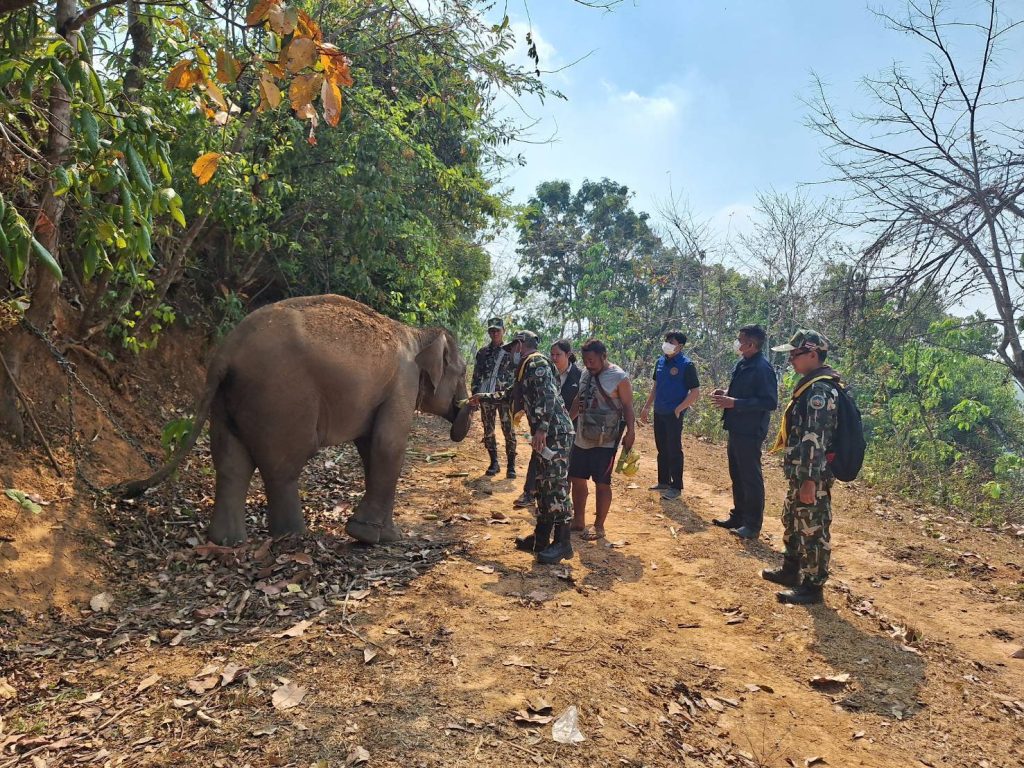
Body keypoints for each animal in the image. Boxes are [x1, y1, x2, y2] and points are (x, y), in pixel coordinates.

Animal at [118, 294, 473, 545]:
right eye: (463, 371)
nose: (467, 404)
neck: (417, 333)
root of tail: (226, 351)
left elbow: (370, 447)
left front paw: (384, 535)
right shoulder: (402, 383)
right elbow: (389, 444)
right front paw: (374, 538)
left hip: (227, 400)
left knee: (231, 463)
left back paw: (227, 541)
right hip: (281, 398)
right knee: (284, 465)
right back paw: (292, 535)